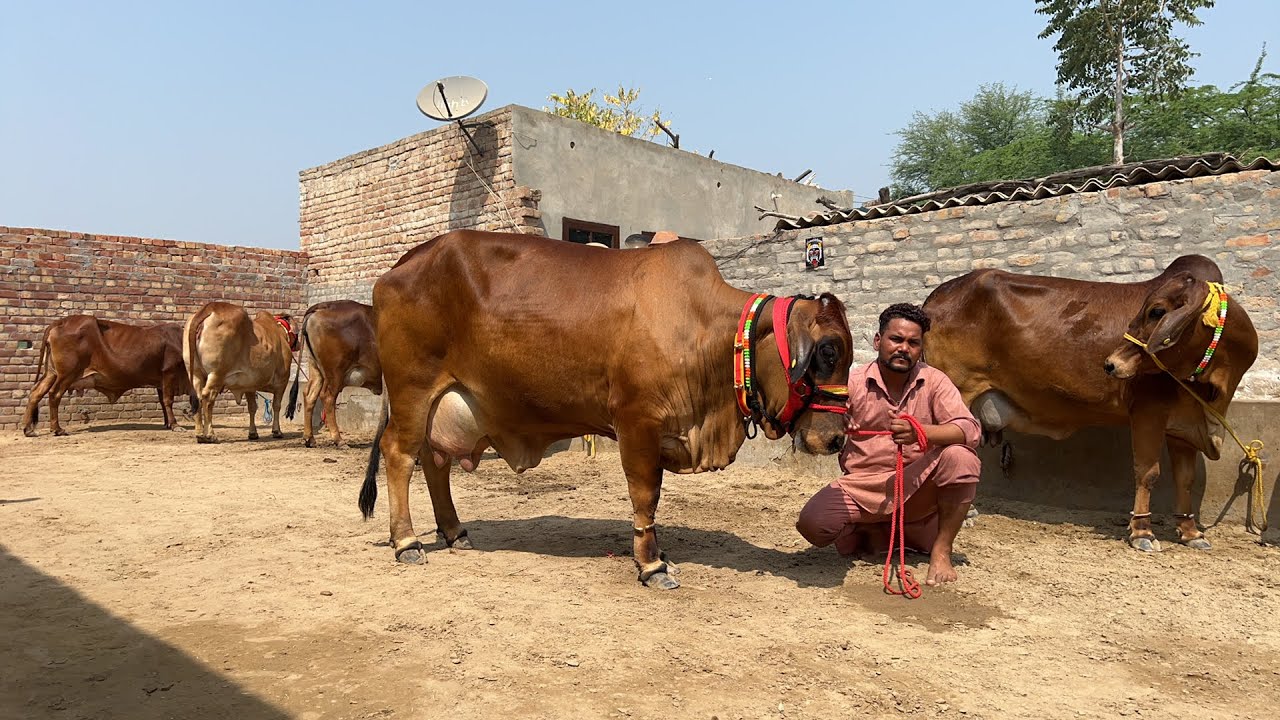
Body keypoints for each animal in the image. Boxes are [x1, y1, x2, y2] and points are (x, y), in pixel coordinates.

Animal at [22, 315, 195, 437]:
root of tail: (61, 322)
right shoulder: (169, 372)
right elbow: (168, 400)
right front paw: (175, 425)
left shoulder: (160, 381)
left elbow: (162, 402)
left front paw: (167, 424)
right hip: (67, 374)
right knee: (54, 394)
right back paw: (57, 429)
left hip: (51, 373)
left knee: (35, 393)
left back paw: (28, 430)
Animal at [184, 302, 297, 443]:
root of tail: (210, 307)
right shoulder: (282, 381)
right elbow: (276, 406)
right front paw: (277, 431)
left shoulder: (250, 385)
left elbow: (252, 407)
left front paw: (253, 433)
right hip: (217, 373)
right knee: (208, 398)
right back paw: (210, 434)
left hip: (195, 373)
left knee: (197, 396)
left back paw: (199, 434)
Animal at [284, 300, 382, 448]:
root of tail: (325, 305)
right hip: (335, 372)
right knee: (327, 397)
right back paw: (338, 439)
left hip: (316, 369)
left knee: (310, 395)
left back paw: (309, 438)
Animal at [360, 230, 856, 589]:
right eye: (828, 351)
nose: (836, 438)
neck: (704, 328)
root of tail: (402, 264)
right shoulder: (637, 422)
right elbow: (646, 495)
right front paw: (652, 565)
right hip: (413, 389)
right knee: (400, 454)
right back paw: (406, 541)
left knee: (434, 461)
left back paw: (454, 532)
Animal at [922, 255, 1257, 552]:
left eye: (1156, 311)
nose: (1112, 364)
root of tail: (936, 298)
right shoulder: (1147, 411)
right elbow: (1147, 472)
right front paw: (1142, 532)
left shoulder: (1183, 425)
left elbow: (1185, 479)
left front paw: (1190, 532)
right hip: (957, 391)